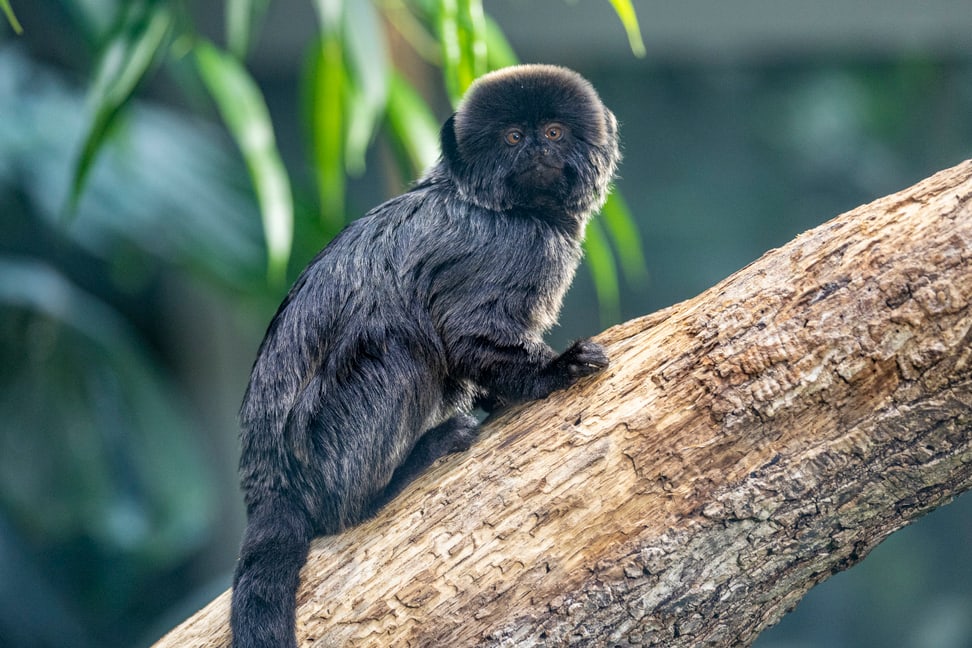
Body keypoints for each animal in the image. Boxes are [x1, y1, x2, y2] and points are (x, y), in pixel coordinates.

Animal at [232, 62, 620, 648]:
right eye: (513, 138)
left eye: (553, 132)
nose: (535, 148)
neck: (511, 208)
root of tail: (267, 478)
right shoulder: (512, 249)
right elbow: (468, 334)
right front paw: (556, 371)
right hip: (325, 448)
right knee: (400, 350)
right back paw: (404, 470)